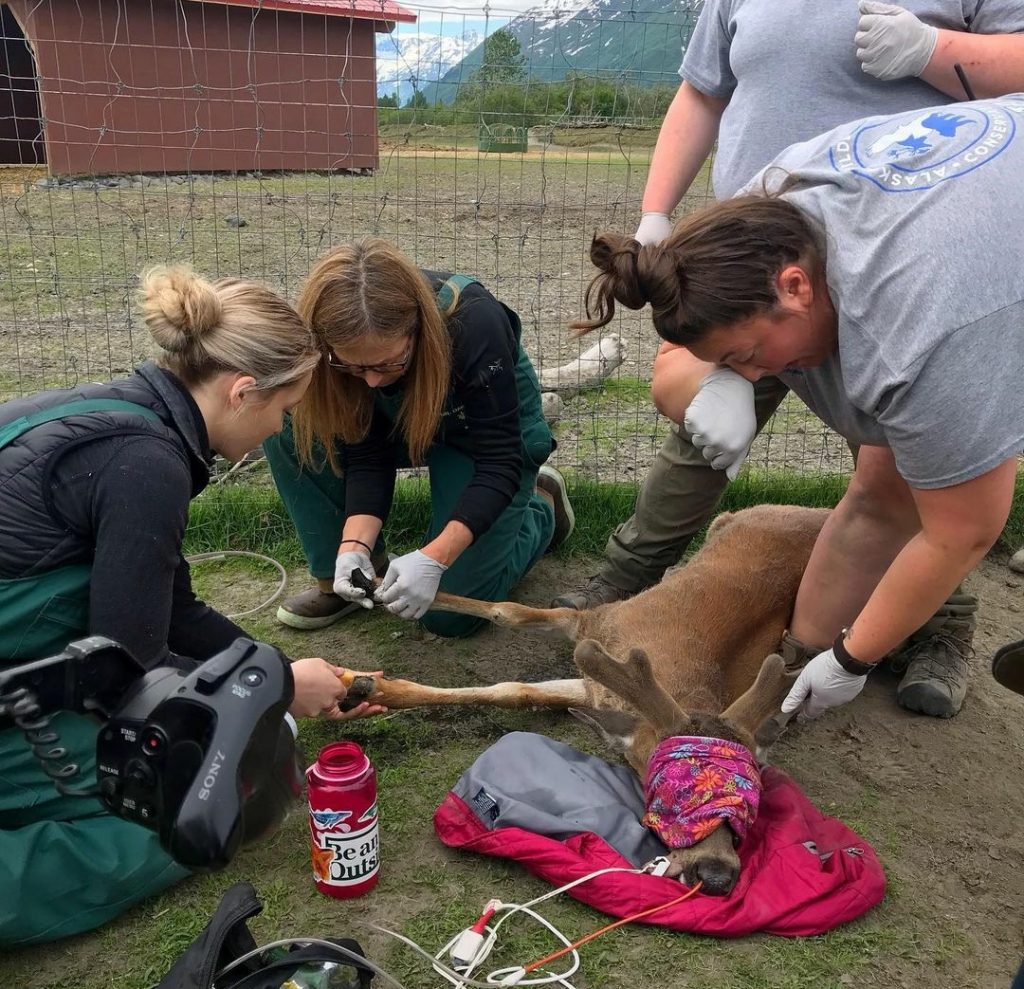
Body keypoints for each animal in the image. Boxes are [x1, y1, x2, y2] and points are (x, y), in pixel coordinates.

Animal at [335, 507, 831, 892]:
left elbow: (515, 692)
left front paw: (367, 686)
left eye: (753, 799)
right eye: (667, 792)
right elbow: (506, 616)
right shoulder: (592, 624)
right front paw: (375, 586)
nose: (717, 875)